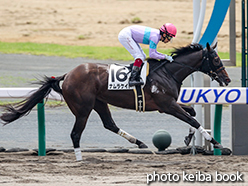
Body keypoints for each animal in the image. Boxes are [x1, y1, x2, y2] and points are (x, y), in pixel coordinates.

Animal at [0, 42, 232, 161]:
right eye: (217, 59)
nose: (228, 80)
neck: (168, 72)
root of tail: (67, 75)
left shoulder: (168, 105)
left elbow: (192, 114)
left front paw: (188, 138)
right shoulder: (166, 106)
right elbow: (192, 119)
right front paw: (218, 144)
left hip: (99, 102)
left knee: (109, 124)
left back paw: (139, 142)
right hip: (83, 109)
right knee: (76, 133)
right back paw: (79, 158)